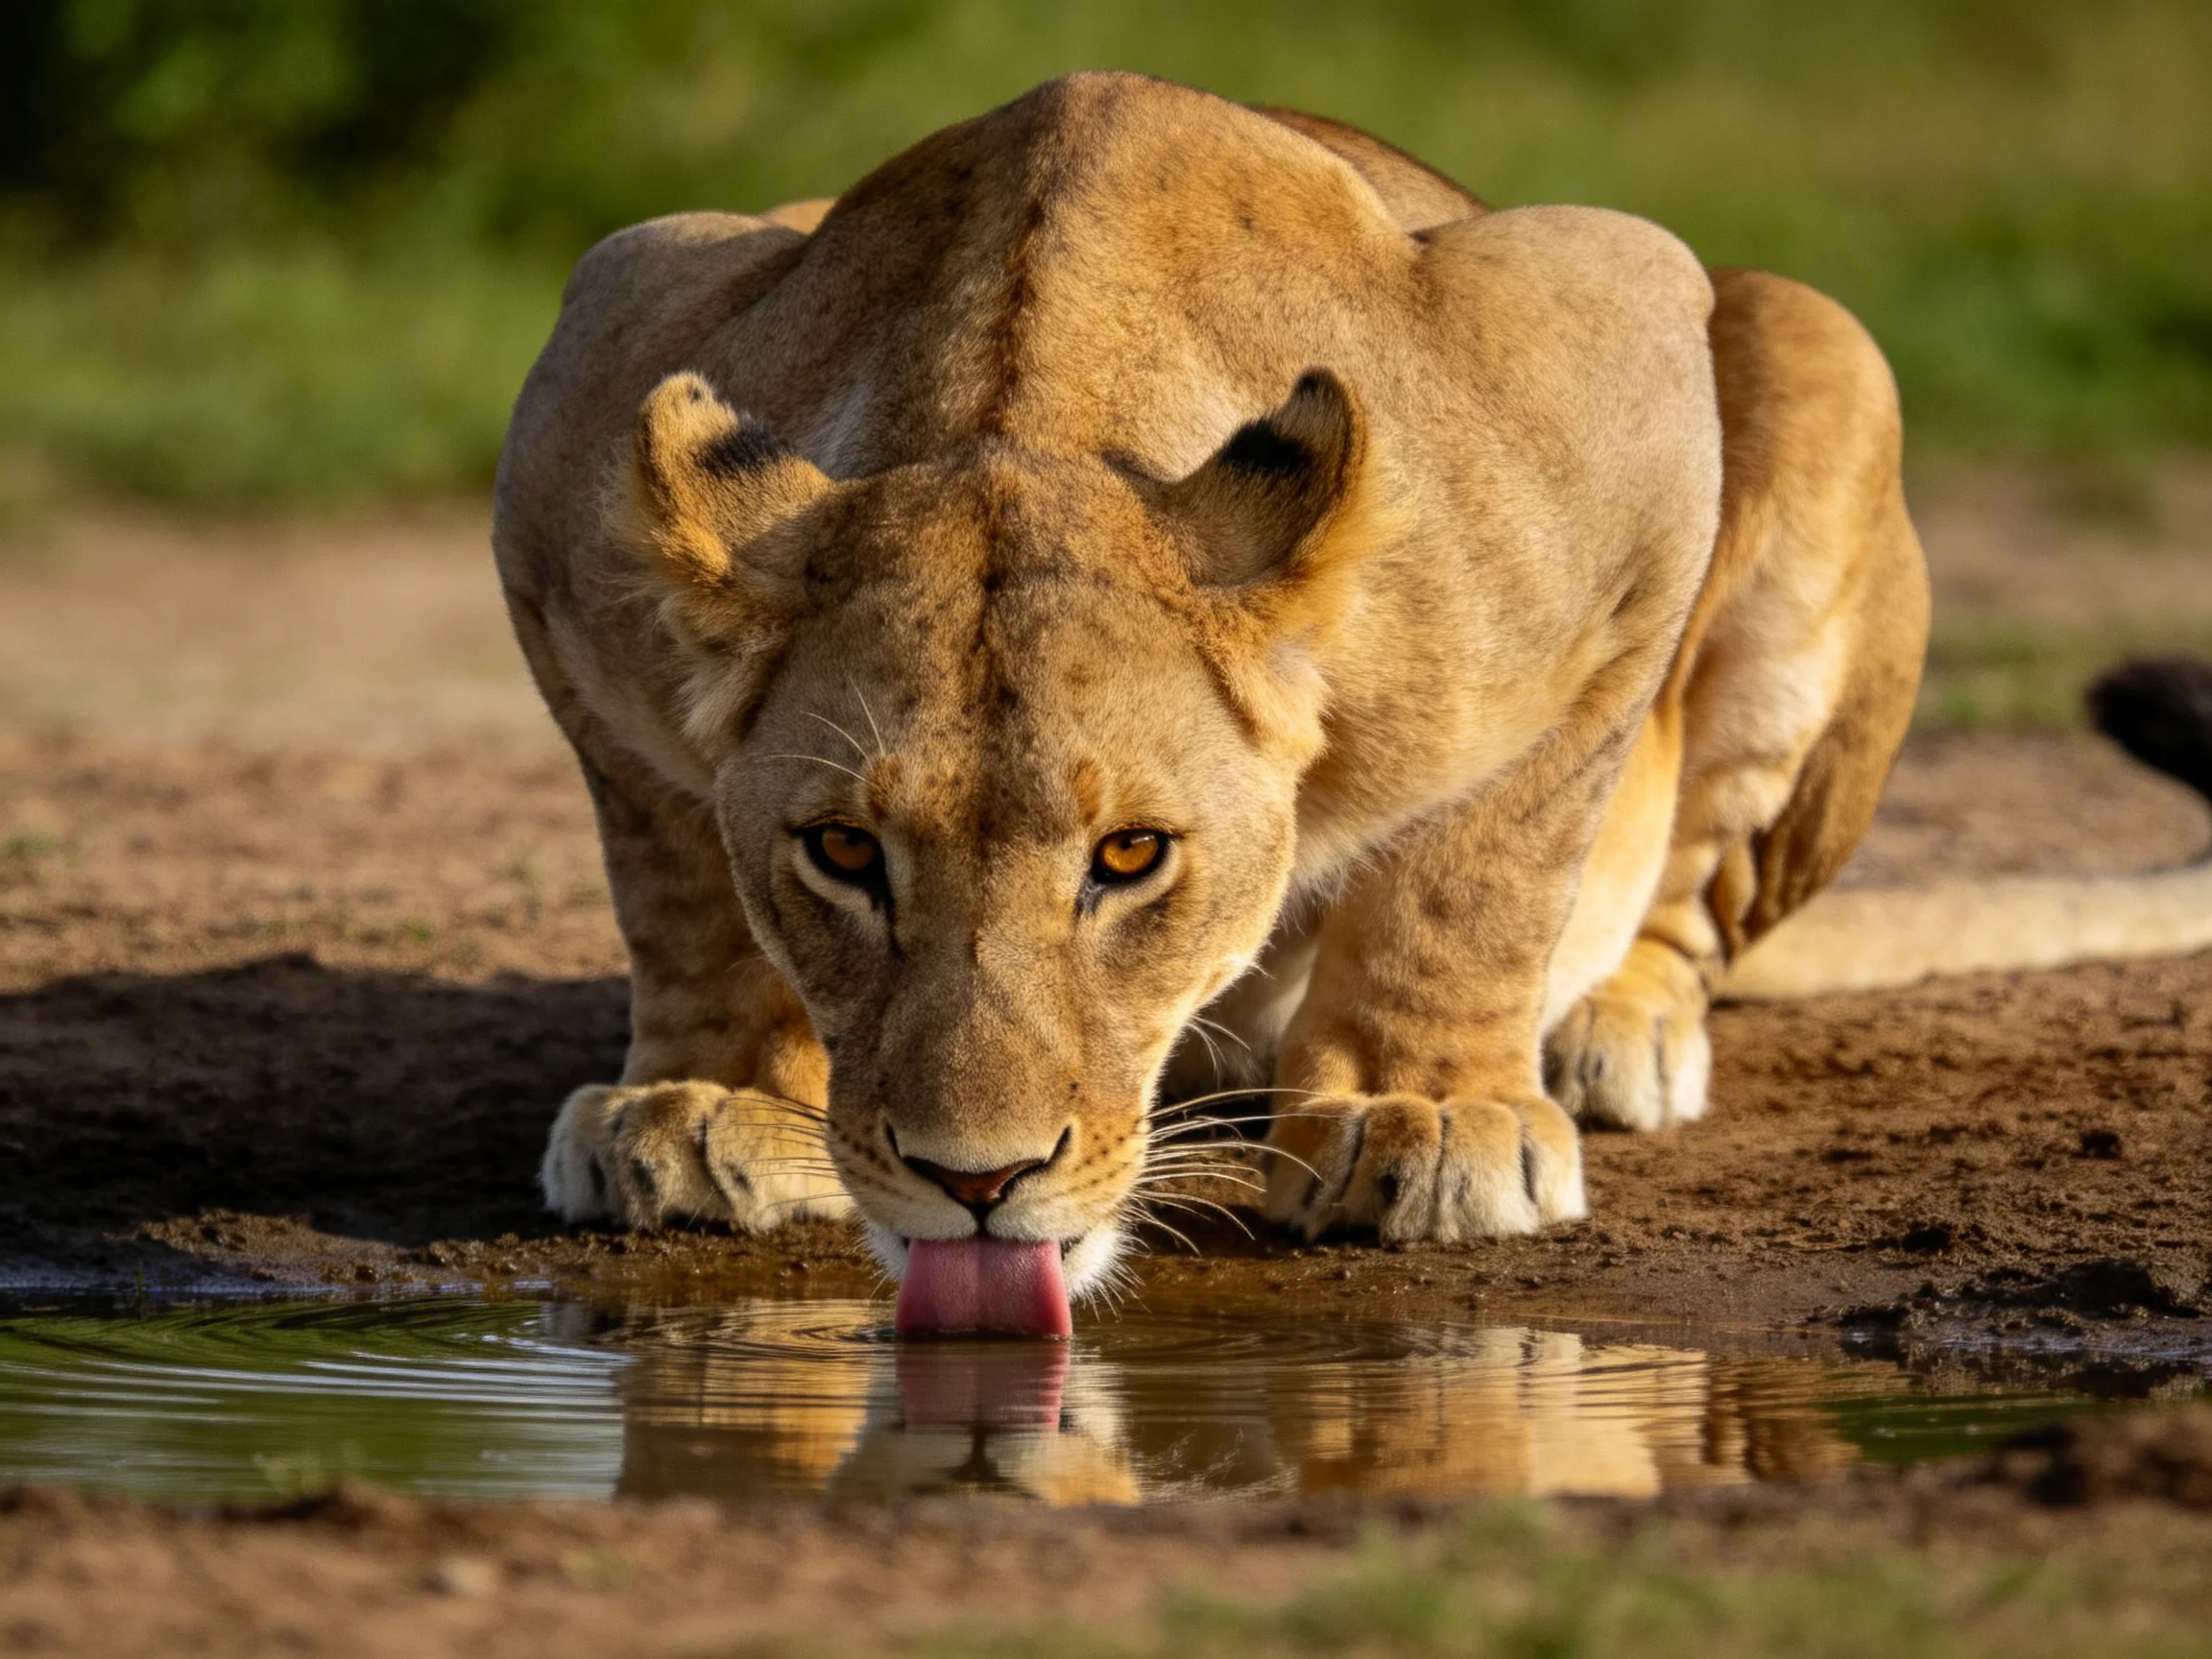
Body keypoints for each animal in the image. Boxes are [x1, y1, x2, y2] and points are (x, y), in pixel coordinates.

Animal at [494, 74, 2212, 1335]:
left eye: (1132, 859)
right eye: (843, 853)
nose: (975, 1182)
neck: (1024, 390)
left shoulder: (1627, 327)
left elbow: (1488, 852)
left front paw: (1422, 1114)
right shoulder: (590, 383)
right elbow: (674, 874)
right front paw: (709, 1095)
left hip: (1811, 340)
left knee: (1697, 896)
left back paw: (1617, 1034)